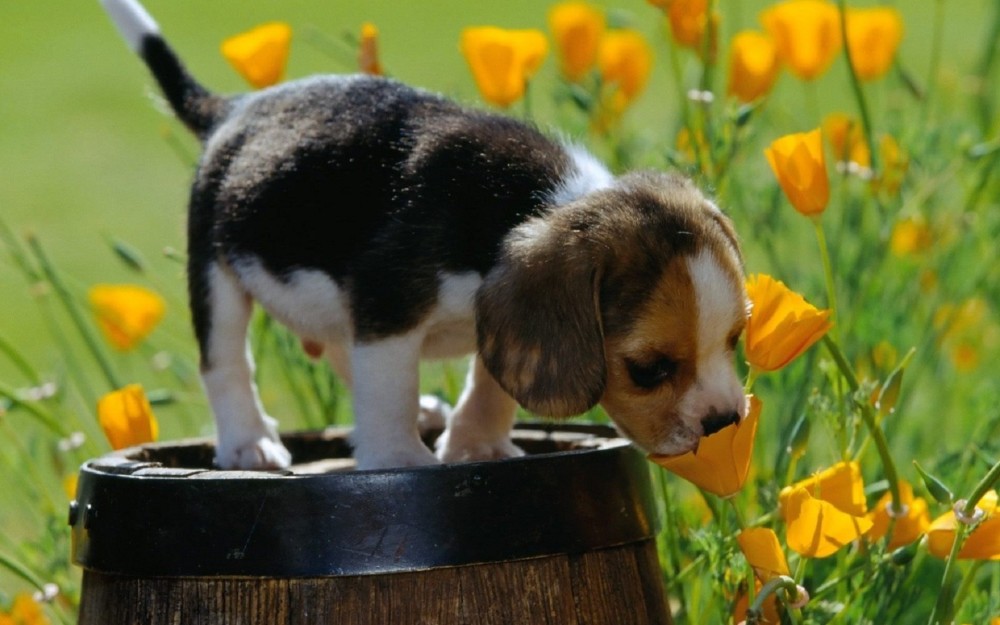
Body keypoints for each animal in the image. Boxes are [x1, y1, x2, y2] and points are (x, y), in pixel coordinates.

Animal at [101, 0, 752, 468]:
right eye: (648, 370)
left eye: (736, 338)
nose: (724, 422)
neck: (535, 204)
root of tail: (233, 110)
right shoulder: (389, 305)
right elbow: (387, 389)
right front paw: (400, 459)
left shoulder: (495, 319)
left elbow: (492, 381)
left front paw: (476, 443)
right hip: (216, 271)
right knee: (227, 361)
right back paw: (248, 444)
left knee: (337, 346)